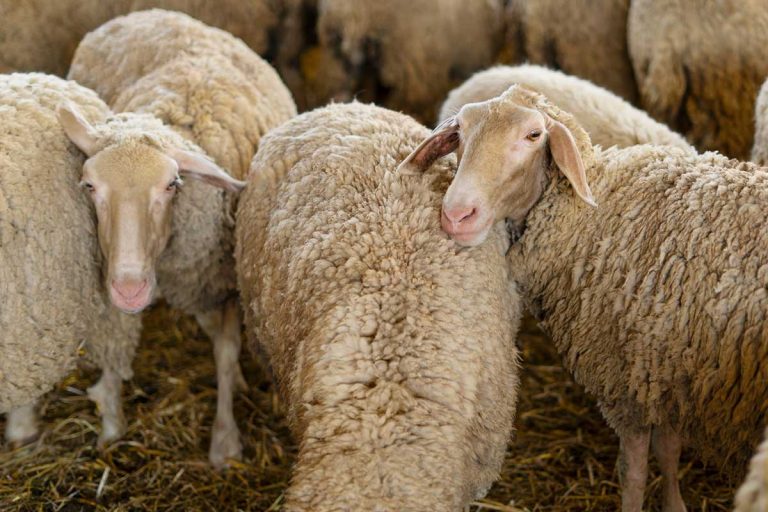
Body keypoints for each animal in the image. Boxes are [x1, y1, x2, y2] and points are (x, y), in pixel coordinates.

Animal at [67, 9, 297, 468]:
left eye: (172, 184)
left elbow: (225, 352)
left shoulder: (223, 281)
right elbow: (117, 340)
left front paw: (225, 442)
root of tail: (145, 13)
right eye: (89, 186)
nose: (131, 290)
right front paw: (111, 419)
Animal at [402, 85, 768, 512]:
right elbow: (669, 450)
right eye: (459, 131)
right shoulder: (667, 370)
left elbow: (633, 471)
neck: (593, 210)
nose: (457, 215)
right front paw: (676, 503)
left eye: (533, 135)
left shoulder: (627, 379)